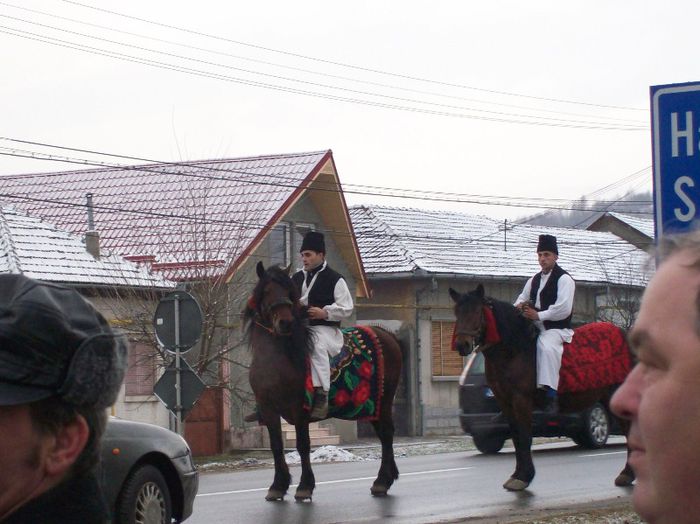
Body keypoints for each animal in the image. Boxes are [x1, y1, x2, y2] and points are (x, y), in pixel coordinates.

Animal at [245, 260, 402, 500]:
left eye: (288, 292)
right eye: (267, 291)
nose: (286, 322)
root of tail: (385, 334)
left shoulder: (299, 409)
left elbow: (302, 445)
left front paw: (304, 486)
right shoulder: (269, 409)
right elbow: (276, 445)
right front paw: (278, 485)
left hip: (382, 402)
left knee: (385, 435)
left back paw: (381, 482)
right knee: (384, 435)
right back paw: (386, 479)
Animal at [448, 282, 636, 492]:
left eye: (476, 311)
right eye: (457, 312)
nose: (461, 345)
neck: (515, 350)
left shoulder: (521, 401)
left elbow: (525, 436)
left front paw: (524, 477)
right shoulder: (506, 402)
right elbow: (516, 437)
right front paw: (517, 474)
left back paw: (628, 473)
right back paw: (628, 473)